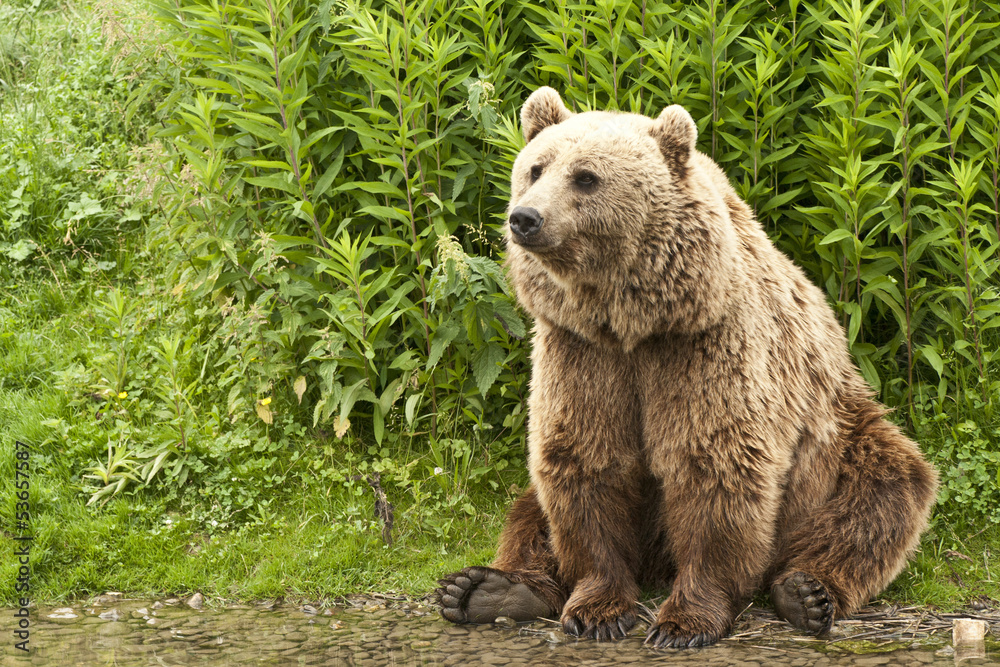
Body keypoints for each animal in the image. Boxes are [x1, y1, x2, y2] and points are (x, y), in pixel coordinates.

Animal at [435, 87, 938, 648]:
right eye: (536, 168)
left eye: (586, 177)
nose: (524, 218)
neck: (631, 321)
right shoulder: (582, 352)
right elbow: (585, 461)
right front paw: (597, 609)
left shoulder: (703, 348)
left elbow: (713, 465)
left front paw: (683, 622)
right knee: (528, 512)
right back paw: (486, 589)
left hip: (842, 432)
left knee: (882, 496)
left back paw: (807, 593)